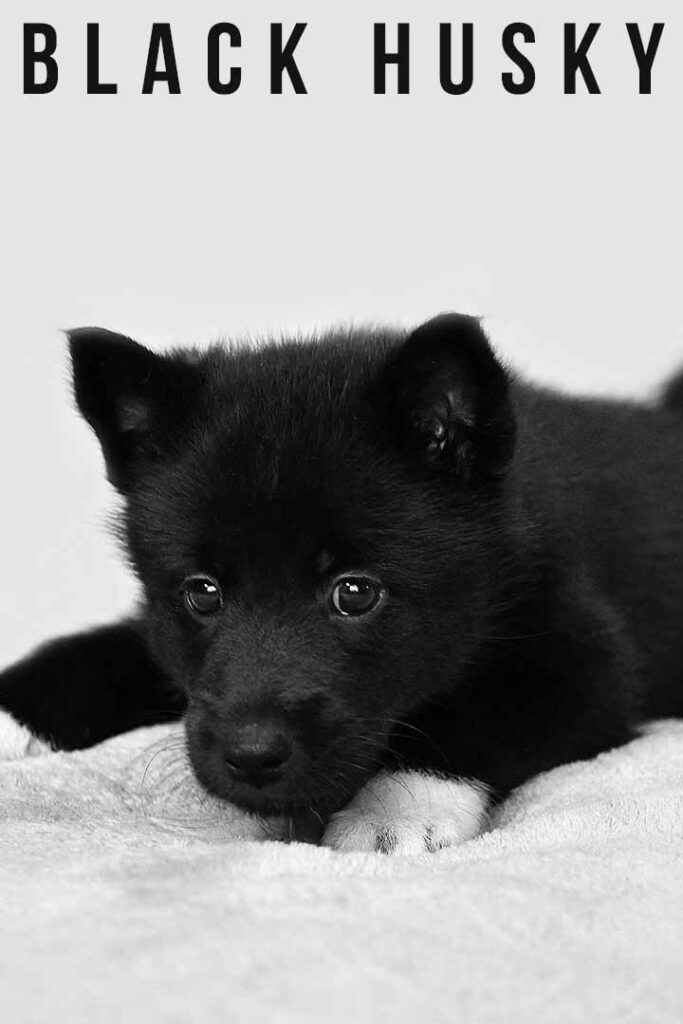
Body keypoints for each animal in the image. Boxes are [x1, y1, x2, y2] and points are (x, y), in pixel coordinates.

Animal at [1, 315, 683, 851]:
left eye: (355, 593)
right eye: (202, 592)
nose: (252, 756)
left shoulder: (588, 664)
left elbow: (470, 721)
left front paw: (394, 809)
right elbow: (107, 649)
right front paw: (11, 712)